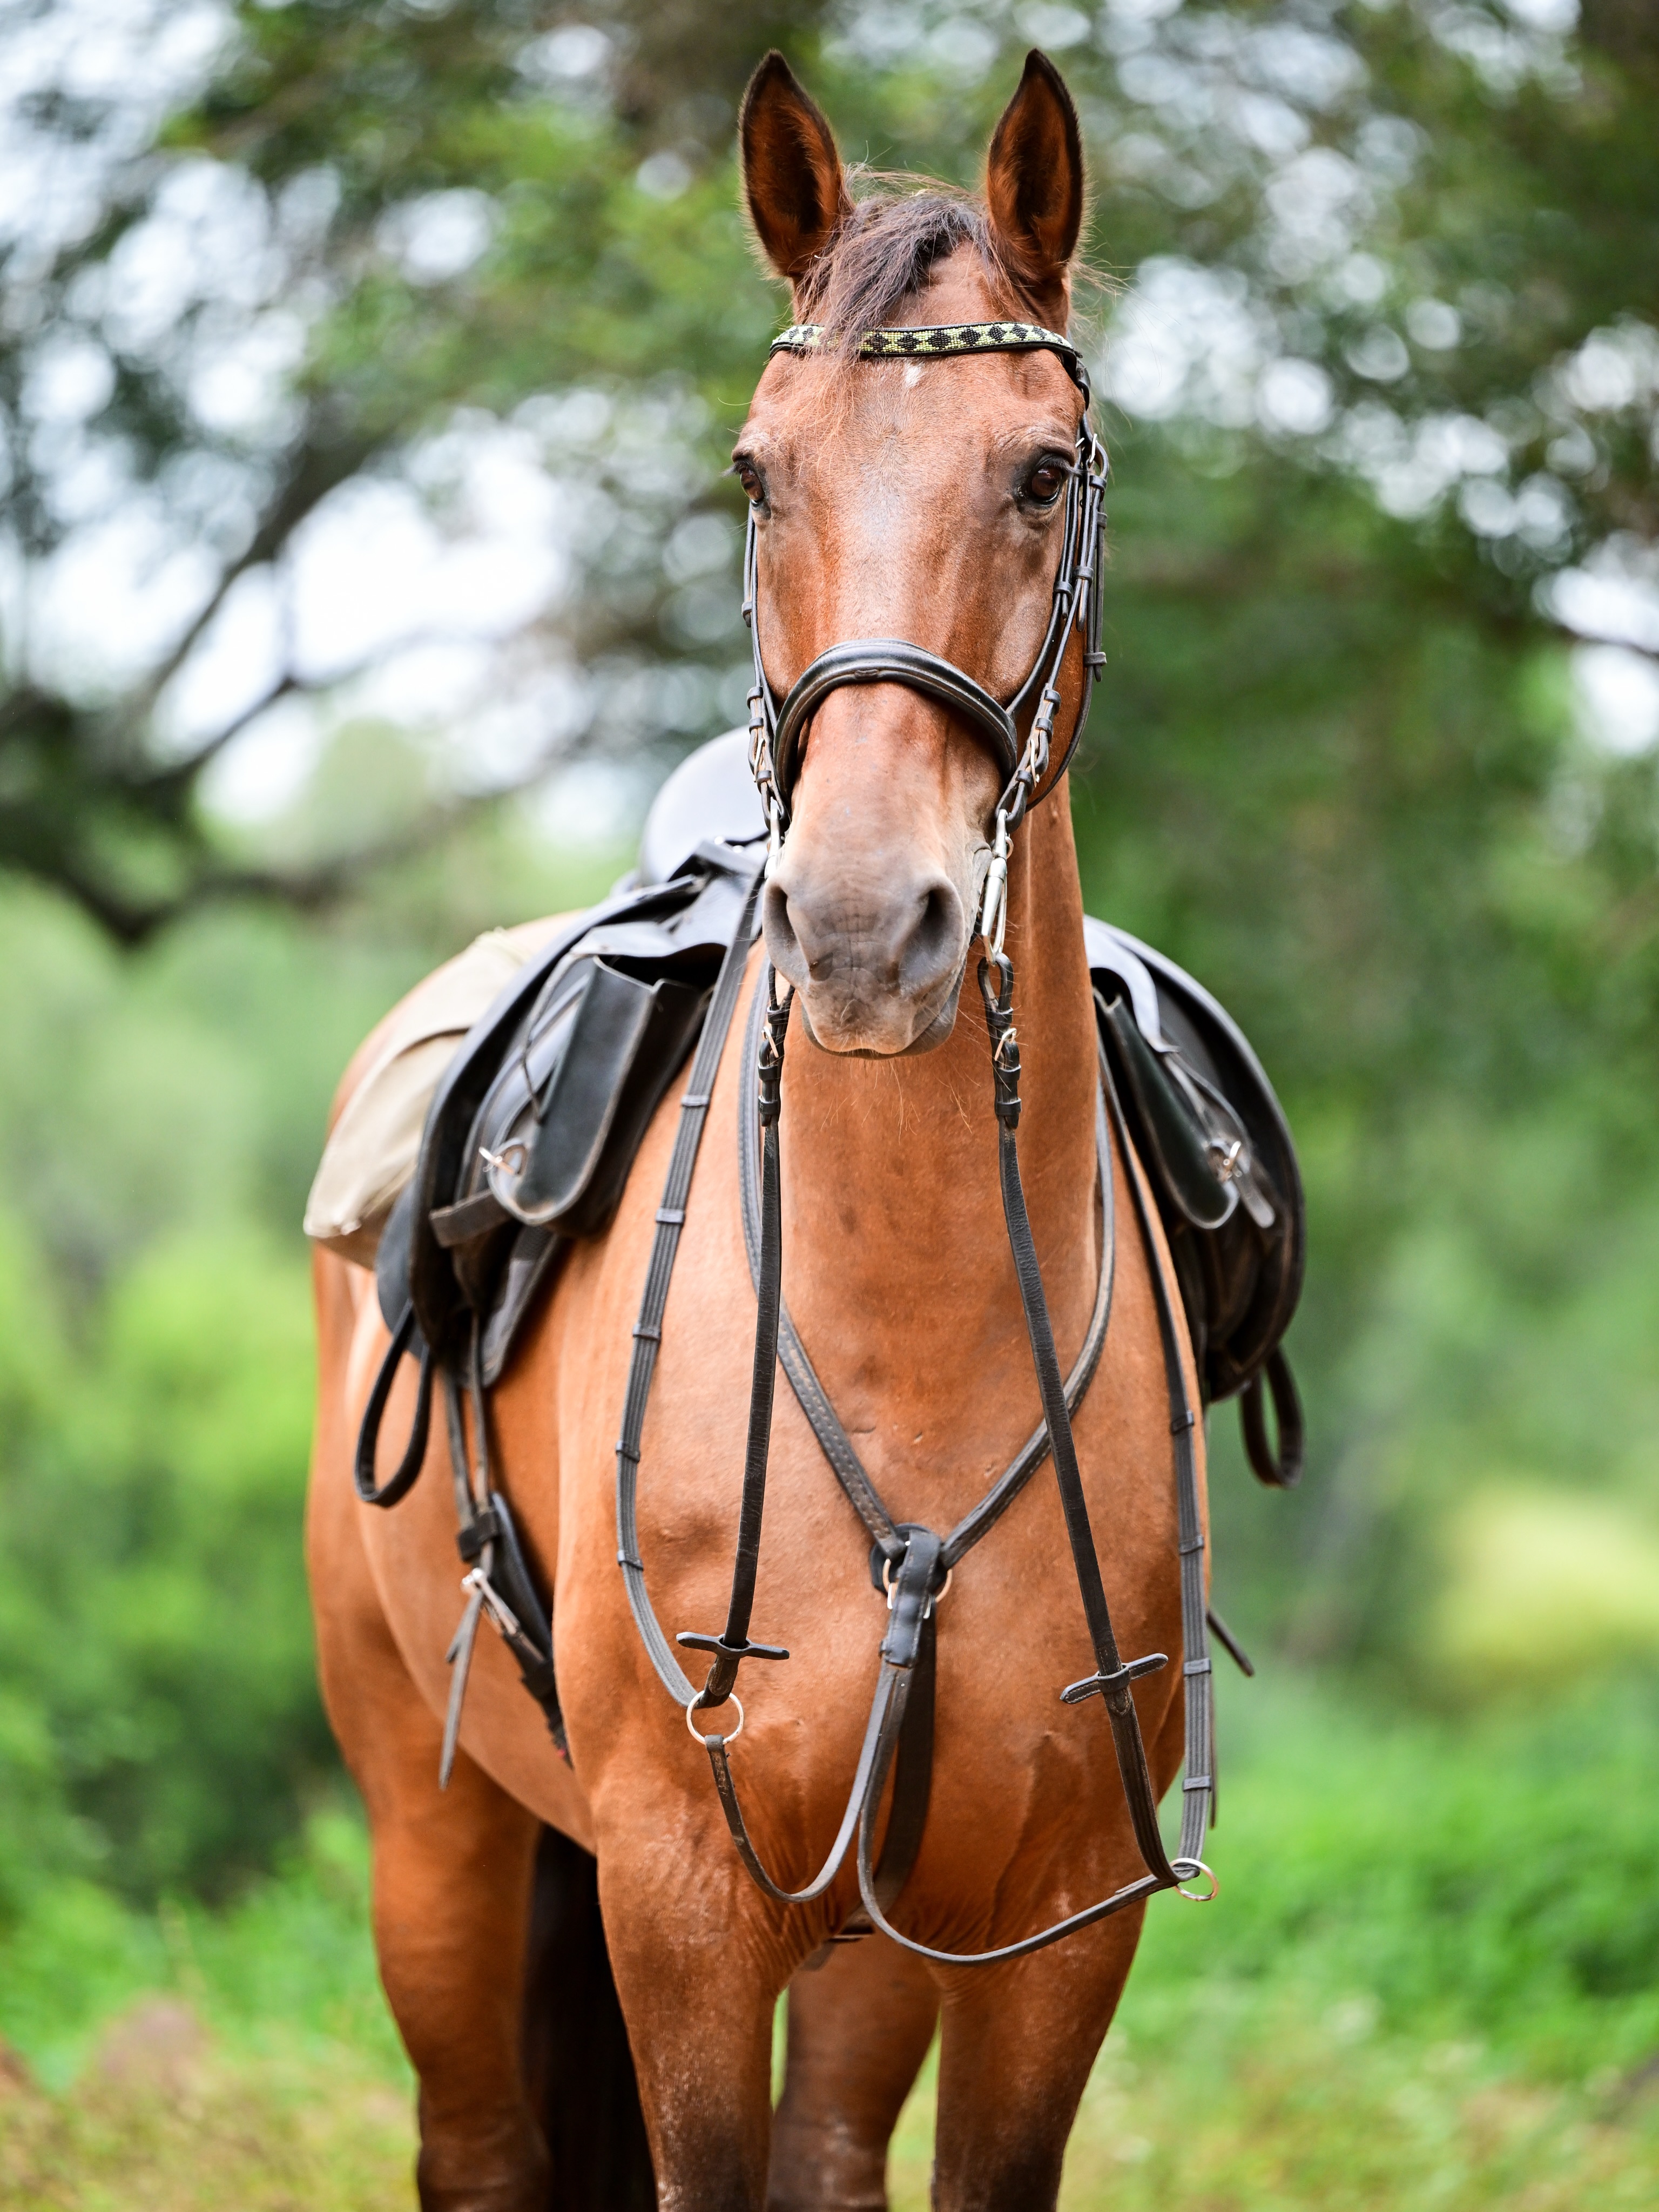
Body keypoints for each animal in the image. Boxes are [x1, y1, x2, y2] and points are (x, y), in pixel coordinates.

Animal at [308, 48, 1209, 2212]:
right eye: (752, 469)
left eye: (1041, 470)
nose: (869, 927)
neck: (909, 1340)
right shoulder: (679, 1896)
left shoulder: (1046, 1919)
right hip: (439, 1837)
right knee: (479, 2142)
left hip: (870, 1925)